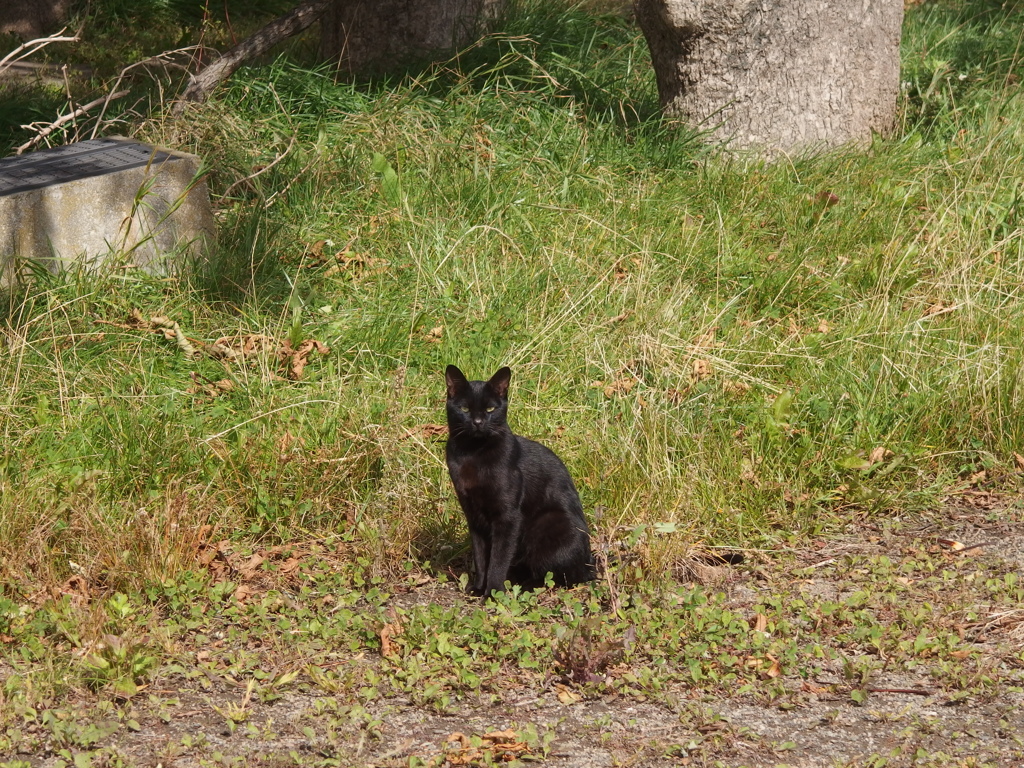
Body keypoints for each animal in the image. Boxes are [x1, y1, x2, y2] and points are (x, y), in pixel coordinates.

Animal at [444, 366, 598, 602]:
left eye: (490, 409)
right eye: (464, 408)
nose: (478, 422)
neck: (472, 453)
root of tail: (590, 564)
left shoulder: (508, 517)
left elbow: (497, 560)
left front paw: (493, 593)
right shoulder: (474, 516)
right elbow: (481, 558)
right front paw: (478, 588)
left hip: (549, 524)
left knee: (560, 576)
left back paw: (526, 587)